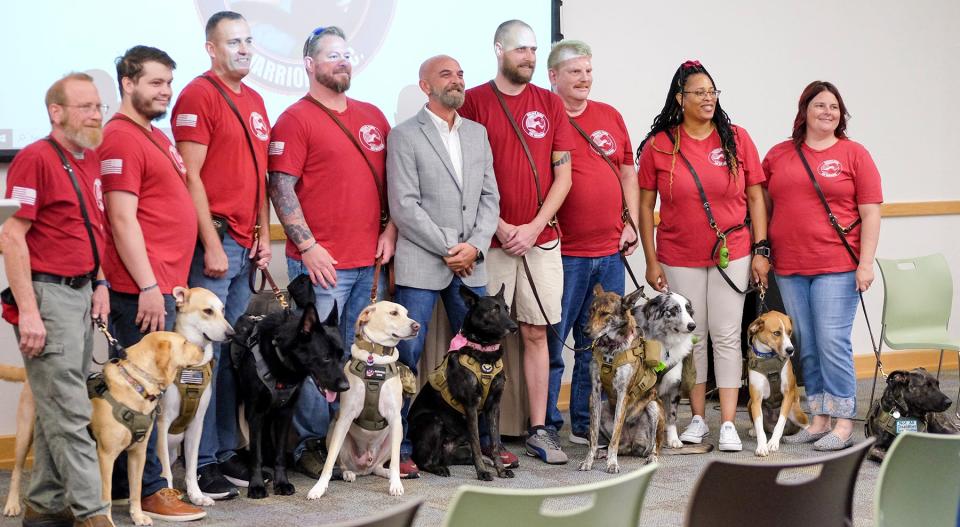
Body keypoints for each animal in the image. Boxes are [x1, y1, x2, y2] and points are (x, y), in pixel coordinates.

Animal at [91, 332, 205, 524]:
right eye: (184, 342)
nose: (203, 349)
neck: (137, 384)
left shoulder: (138, 453)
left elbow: (136, 489)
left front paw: (137, 516)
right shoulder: (105, 456)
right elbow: (105, 494)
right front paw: (106, 521)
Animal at [231, 276, 350, 500]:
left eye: (342, 356)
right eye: (326, 358)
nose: (345, 387)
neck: (280, 358)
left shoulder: (285, 412)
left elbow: (279, 454)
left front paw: (281, 482)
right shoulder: (255, 413)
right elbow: (256, 455)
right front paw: (256, 485)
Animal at [308, 304, 420, 502]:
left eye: (407, 314)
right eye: (393, 313)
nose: (417, 326)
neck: (375, 358)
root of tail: (365, 467)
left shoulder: (395, 418)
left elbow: (395, 463)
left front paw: (396, 484)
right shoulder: (345, 418)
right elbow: (329, 461)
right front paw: (319, 488)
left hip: (395, 436)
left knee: (381, 466)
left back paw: (388, 474)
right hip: (335, 431)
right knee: (343, 464)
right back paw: (348, 474)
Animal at [408, 286, 520, 480]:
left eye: (506, 308)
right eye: (493, 310)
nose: (514, 327)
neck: (484, 351)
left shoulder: (494, 406)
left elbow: (495, 444)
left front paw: (500, 469)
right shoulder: (471, 405)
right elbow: (476, 443)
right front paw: (482, 472)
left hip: (459, 449)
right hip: (433, 421)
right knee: (422, 460)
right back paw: (438, 468)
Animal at [748, 310, 808, 458]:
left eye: (790, 332)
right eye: (776, 333)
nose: (790, 350)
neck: (768, 358)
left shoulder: (788, 395)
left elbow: (780, 422)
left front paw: (773, 443)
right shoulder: (756, 400)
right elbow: (759, 426)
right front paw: (762, 446)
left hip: (794, 411)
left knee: (806, 424)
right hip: (749, 403)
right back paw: (753, 430)